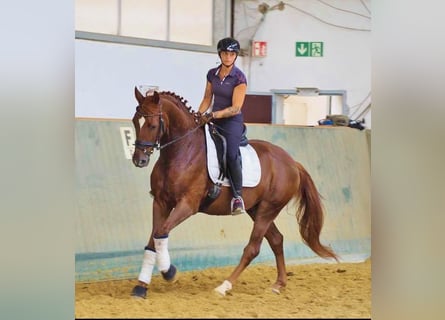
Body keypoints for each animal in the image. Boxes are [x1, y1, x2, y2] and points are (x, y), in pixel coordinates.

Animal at [130, 87, 338, 298]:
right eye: (135, 122)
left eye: (152, 125)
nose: (139, 160)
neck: (182, 152)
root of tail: (292, 162)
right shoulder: (161, 202)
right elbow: (154, 240)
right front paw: (141, 286)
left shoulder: (187, 205)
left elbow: (161, 232)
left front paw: (169, 272)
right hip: (256, 209)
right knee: (276, 240)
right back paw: (278, 284)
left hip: (268, 209)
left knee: (253, 248)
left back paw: (225, 286)